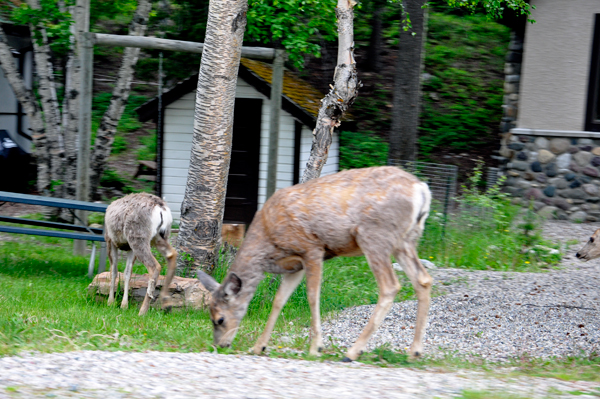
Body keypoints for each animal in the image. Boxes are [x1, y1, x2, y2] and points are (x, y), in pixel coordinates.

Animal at [199, 166, 434, 362]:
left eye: (219, 319)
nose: (219, 345)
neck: (268, 242)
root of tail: (421, 189)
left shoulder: (311, 249)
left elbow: (312, 297)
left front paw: (315, 348)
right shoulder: (294, 266)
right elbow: (279, 301)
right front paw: (259, 347)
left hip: (375, 236)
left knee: (390, 286)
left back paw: (352, 352)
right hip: (406, 240)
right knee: (423, 279)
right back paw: (414, 352)